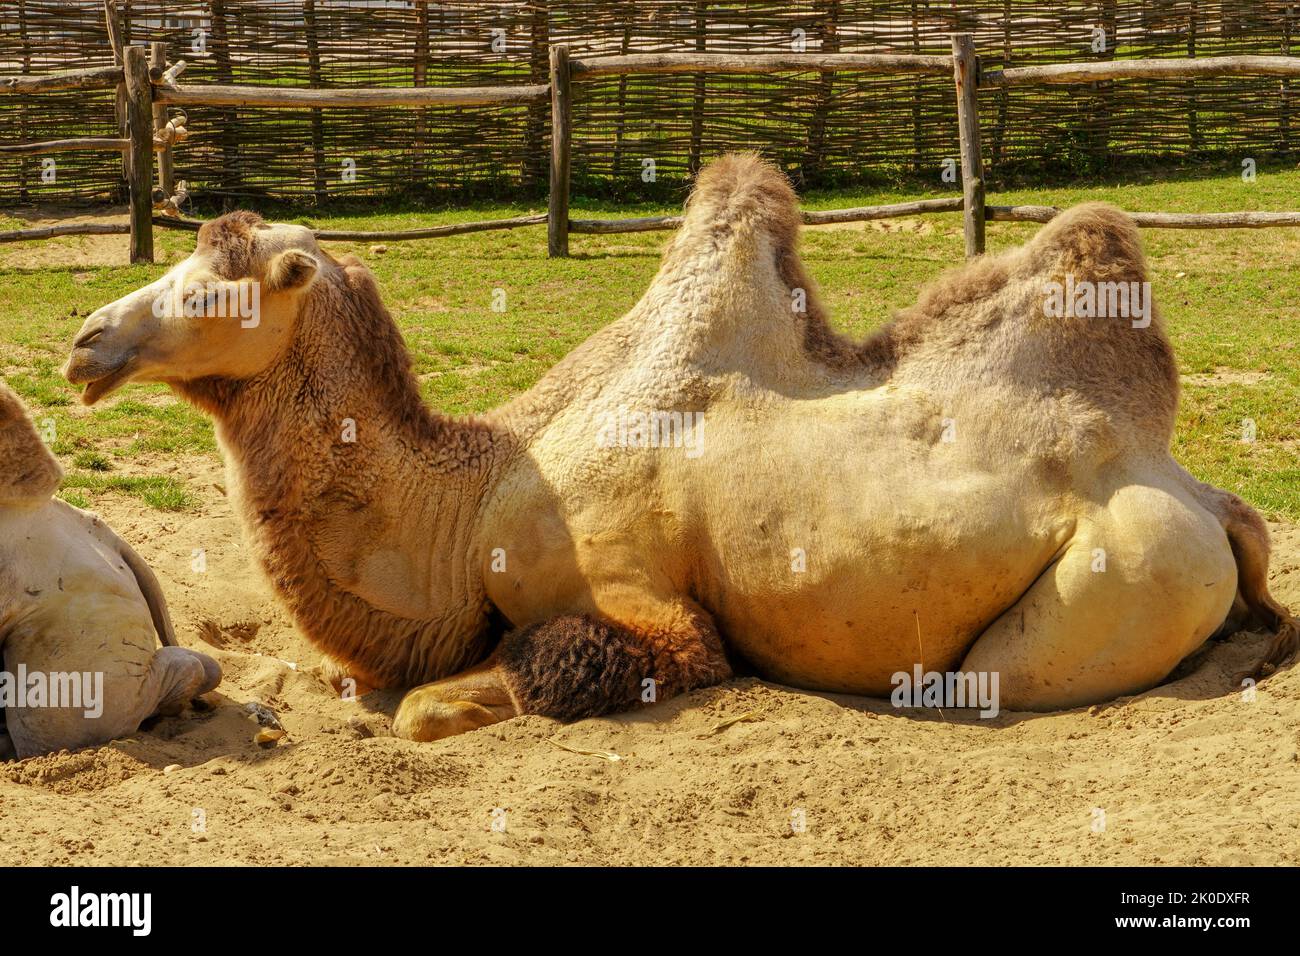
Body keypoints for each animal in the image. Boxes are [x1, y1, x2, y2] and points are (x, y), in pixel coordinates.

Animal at [61, 153, 1297, 741]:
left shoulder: (647, 603)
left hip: (1129, 576)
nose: (83, 342)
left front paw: (448, 702)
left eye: (214, 285)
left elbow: (479, 689)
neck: (479, 495)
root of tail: (1206, 497)